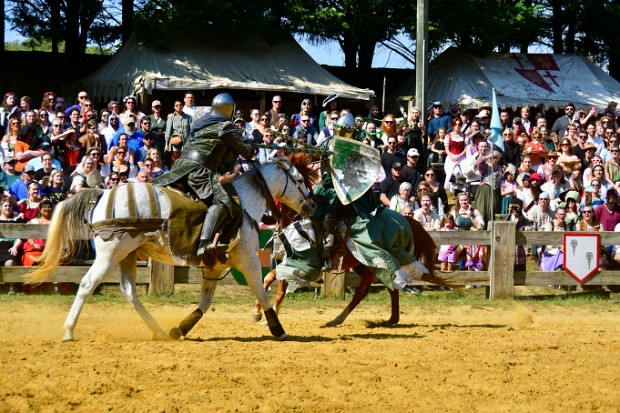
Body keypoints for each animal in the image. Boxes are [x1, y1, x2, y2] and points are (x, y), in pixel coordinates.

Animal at [27, 158, 314, 342]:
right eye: (300, 179)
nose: (311, 205)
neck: (241, 203)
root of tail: (102, 195)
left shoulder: (215, 267)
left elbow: (205, 302)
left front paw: (181, 329)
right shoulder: (248, 261)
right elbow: (261, 292)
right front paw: (276, 327)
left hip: (126, 255)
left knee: (129, 291)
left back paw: (158, 330)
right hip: (110, 254)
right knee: (87, 284)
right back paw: (68, 331)